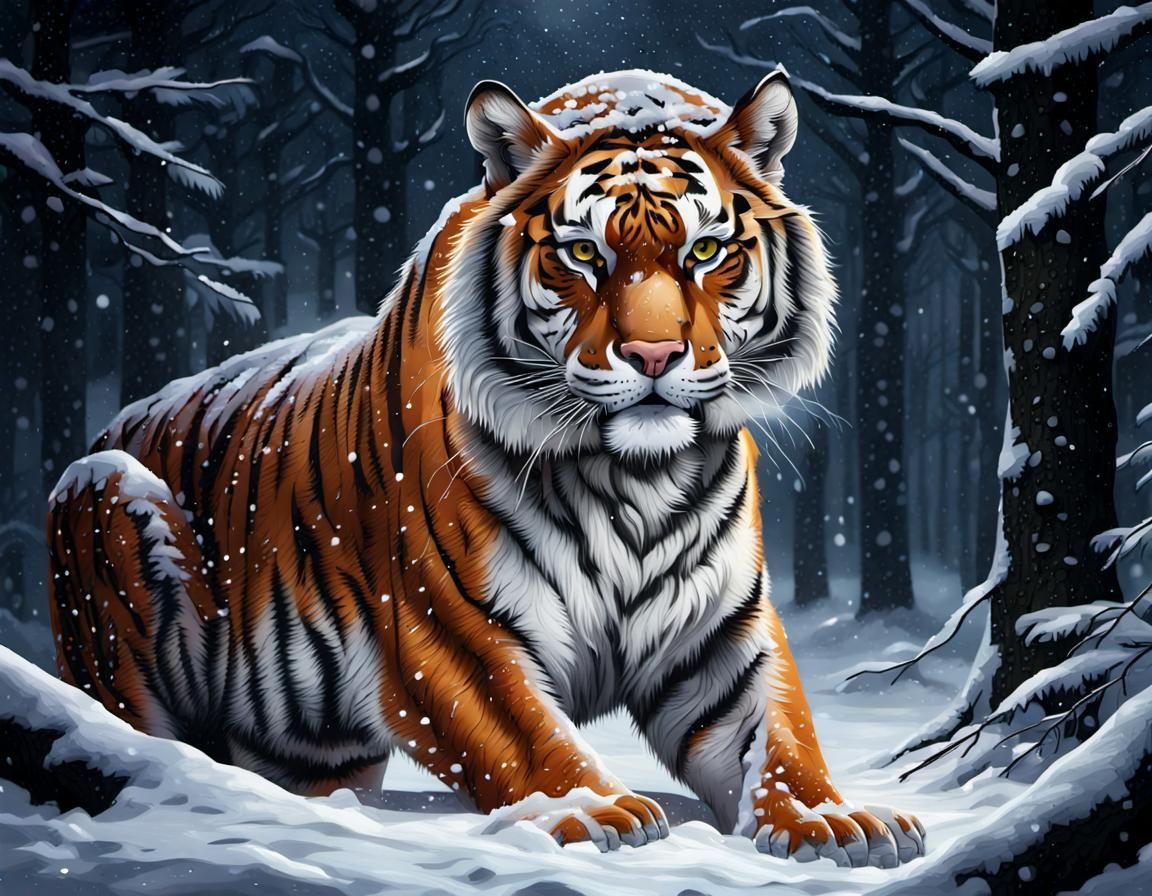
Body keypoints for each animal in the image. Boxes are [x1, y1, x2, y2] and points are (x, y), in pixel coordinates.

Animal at [48, 69, 924, 866]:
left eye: (706, 250)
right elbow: (526, 735)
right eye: (583, 254)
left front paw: (828, 820)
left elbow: (781, 729)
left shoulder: (722, 630)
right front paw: (593, 811)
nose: (652, 355)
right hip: (108, 515)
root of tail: (110, 426)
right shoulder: (451, 625)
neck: (635, 478)